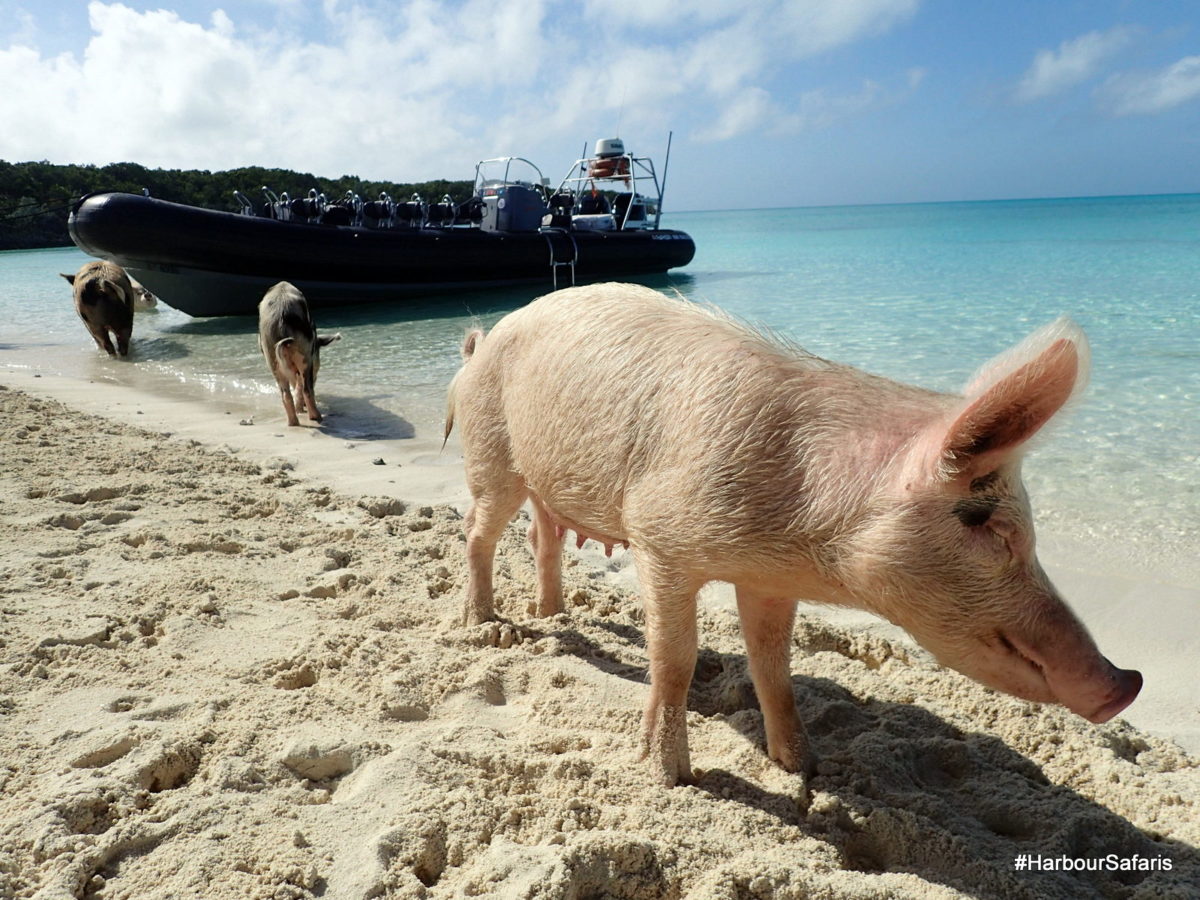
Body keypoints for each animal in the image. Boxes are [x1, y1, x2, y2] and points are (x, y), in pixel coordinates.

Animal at [258, 282, 340, 427]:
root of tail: (281, 315)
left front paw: (299, 409)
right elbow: (301, 386)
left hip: (271, 356)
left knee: (286, 395)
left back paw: (293, 423)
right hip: (305, 356)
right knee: (307, 389)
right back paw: (317, 418)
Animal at [446, 282, 1137, 787]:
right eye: (988, 525)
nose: (1126, 682)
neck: (802, 532)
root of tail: (481, 344)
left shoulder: (769, 579)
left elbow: (774, 665)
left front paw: (806, 769)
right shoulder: (658, 536)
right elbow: (675, 658)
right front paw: (669, 778)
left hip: (543, 478)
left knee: (544, 538)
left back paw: (553, 615)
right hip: (492, 453)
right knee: (479, 533)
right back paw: (486, 625)